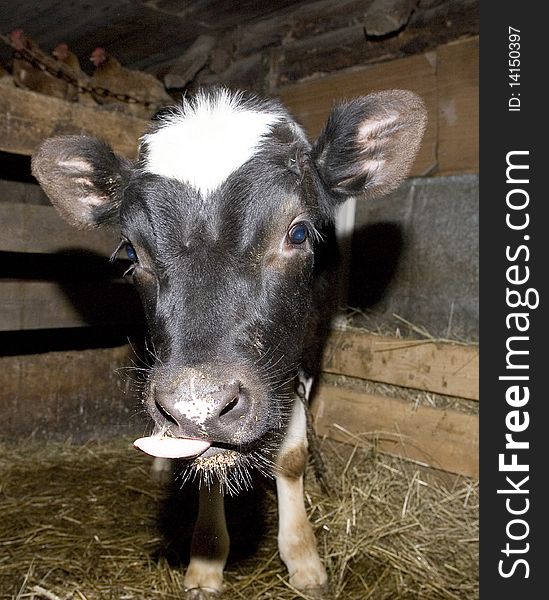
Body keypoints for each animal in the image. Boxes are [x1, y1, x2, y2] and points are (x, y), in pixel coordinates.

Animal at [32, 86, 426, 596]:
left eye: (299, 232)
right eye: (131, 252)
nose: (197, 405)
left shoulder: (306, 352)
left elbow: (292, 458)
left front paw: (303, 558)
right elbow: (201, 463)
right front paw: (206, 561)